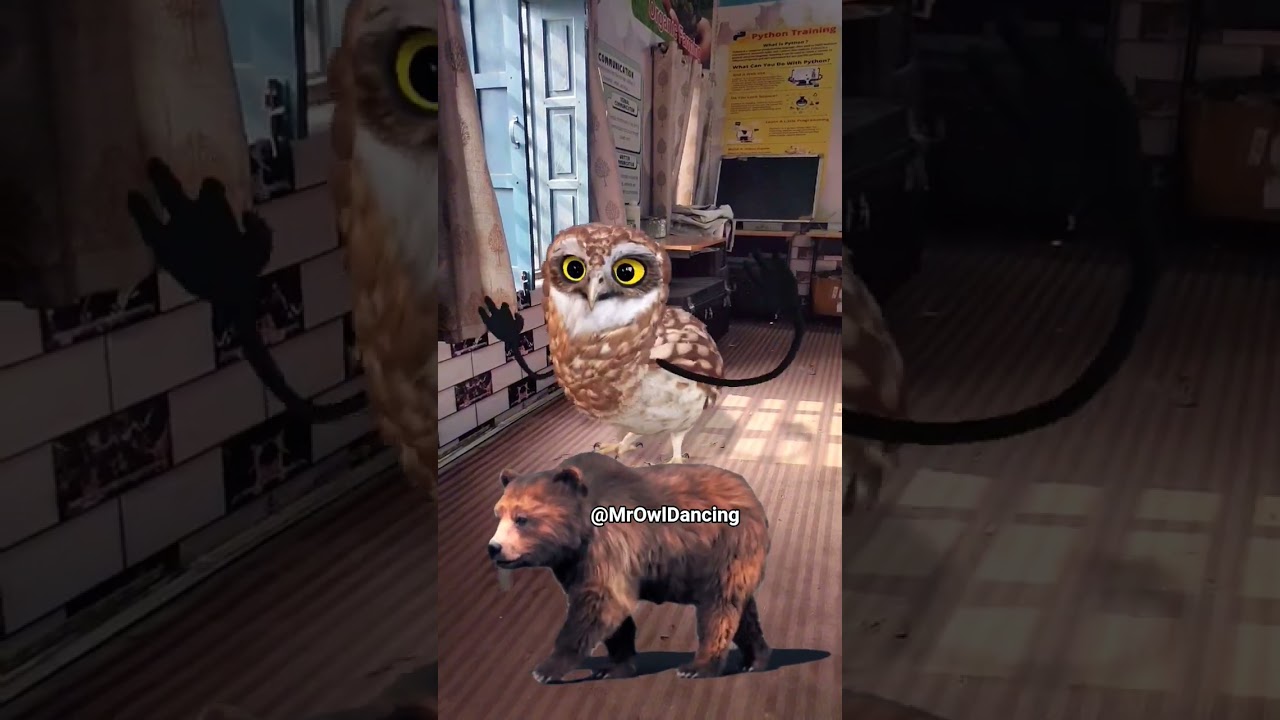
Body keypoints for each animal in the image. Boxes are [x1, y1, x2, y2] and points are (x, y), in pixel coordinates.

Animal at [486, 452, 772, 683]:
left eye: (521, 519)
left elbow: (598, 604)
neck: (578, 533)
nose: (494, 548)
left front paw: (545, 669)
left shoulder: (609, 543)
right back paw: (755, 659)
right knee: (742, 609)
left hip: (724, 548)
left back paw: (697, 667)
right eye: (498, 514)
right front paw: (614, 667)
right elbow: (612, 615)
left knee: (718, 608)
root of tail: (751, 493)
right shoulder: (575, 563)